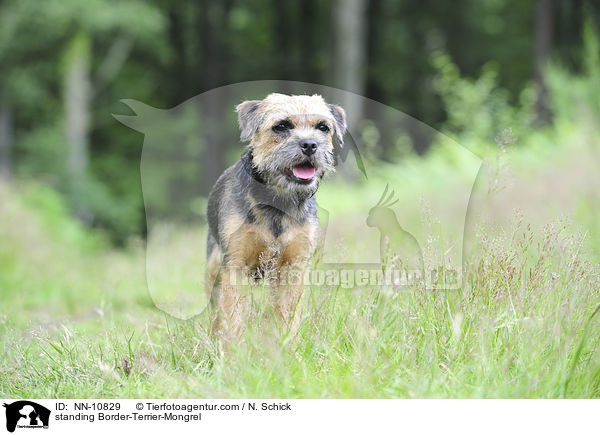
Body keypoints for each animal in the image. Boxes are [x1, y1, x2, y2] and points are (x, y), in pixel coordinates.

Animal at [205, 93, 346, 338]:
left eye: (323, 127)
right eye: (281, 126)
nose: (310, 145)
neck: (279, 201)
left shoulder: (293, 267)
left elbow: (288, 313)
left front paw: (286, 343)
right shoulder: (235, 265)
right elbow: (233, 315)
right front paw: (234, 347)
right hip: (213, 270)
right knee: (215, 311)